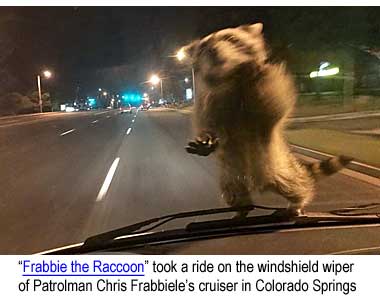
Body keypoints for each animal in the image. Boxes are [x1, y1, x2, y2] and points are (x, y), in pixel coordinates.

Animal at [180, 22, 352, 216]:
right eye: (203, 47)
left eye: (229, 38)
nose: (213, 50)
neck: (229, 76)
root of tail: (259, 184)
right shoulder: (208, 101)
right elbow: (208, 124)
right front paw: (206, 139)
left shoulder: (269, 85)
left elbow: (273, 104)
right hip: (230, 176)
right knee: (234, 193)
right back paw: (242, 210)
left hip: (280, 168)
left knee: (295, 185)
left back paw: (297, 202)